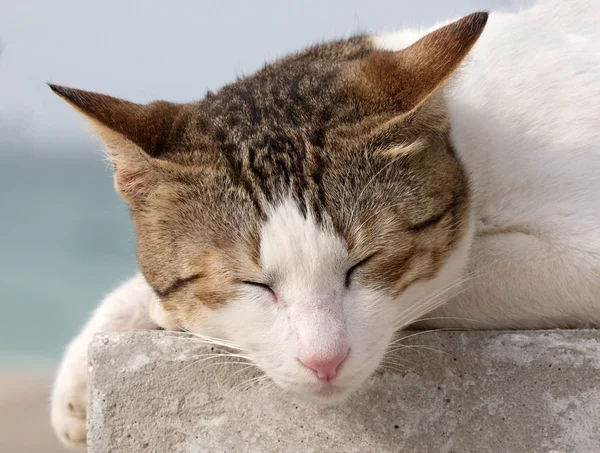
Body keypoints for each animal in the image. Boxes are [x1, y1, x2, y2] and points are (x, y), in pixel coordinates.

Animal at [48, 0, 600, 444]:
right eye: (252, 283)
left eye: (366, 262)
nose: (324, 361)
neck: (474, 138)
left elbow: (461, 268)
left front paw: (160, 311)